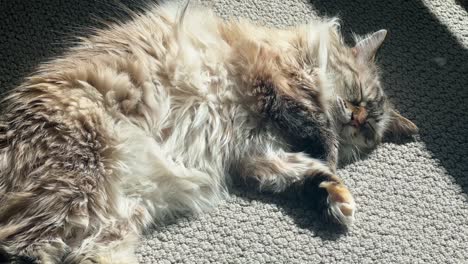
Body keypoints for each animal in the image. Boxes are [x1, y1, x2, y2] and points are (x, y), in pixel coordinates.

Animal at [0, 2, 416, 264]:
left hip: (113, 222)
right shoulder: (273, 81)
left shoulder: (255, 153)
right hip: (74, 182)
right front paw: (332, 163)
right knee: (22, 248)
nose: (357, 120)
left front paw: (336, 199)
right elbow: (317, 133)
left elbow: (305, 172)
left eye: (369, 129)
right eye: (358, 97)